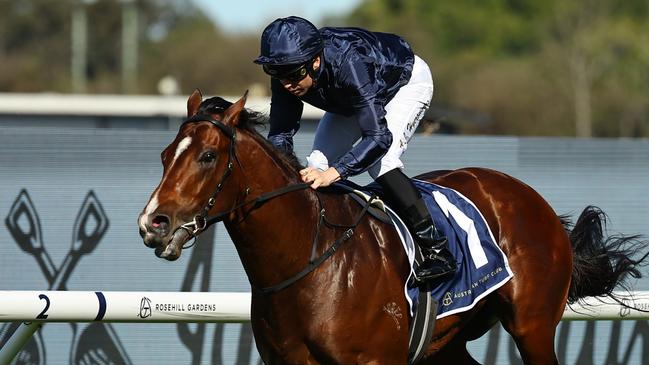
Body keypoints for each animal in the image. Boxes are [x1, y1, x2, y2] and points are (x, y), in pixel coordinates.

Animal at [139, 90, 644, 364]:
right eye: (163, 155)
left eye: (207, 156)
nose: (153, 223)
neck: (308, 259)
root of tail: (534, 201)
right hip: (448, 343)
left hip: (533, 327)